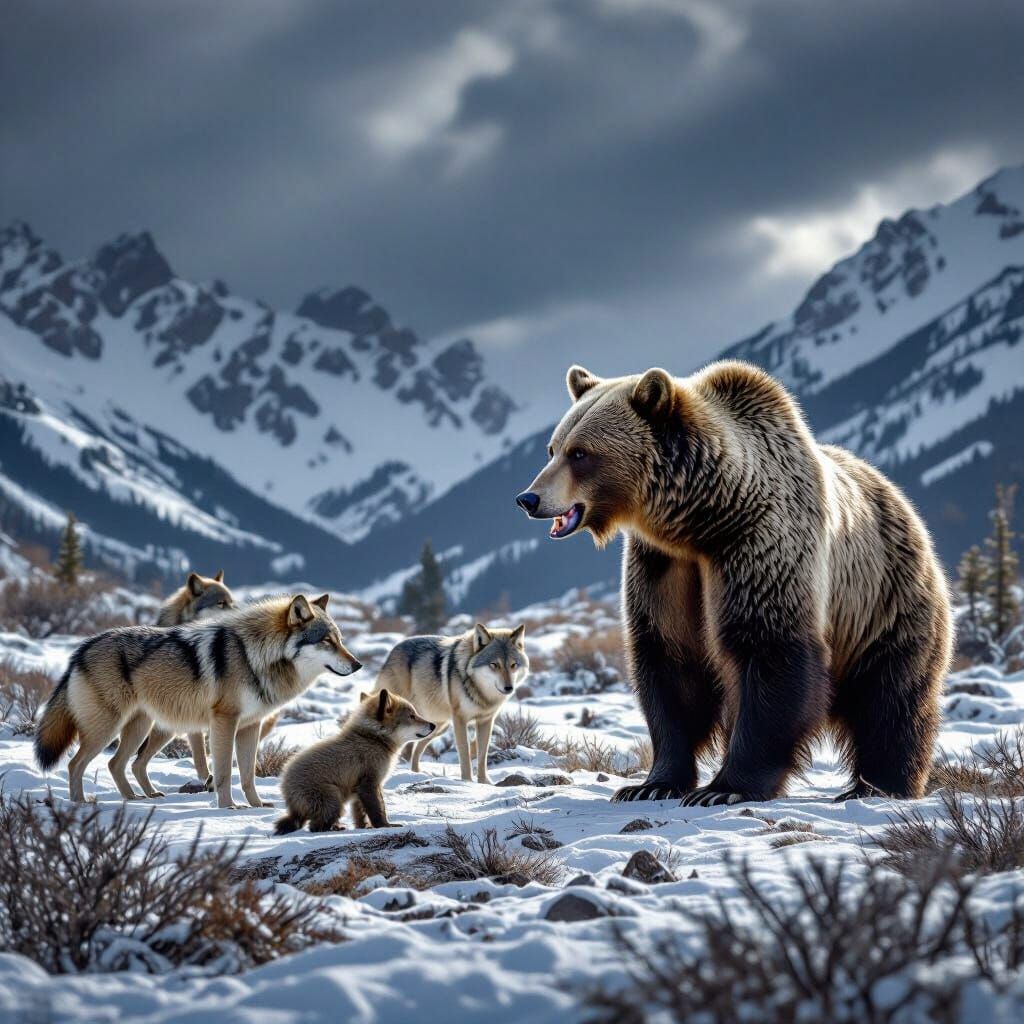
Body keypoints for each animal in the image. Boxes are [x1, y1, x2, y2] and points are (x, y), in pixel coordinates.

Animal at [34, 593, 363, 808]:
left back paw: (137, 798)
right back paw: (80, 802)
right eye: (327, 641)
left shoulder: (250, 727)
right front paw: (228, 807)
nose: (358, 665)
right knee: (76, 764)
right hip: (110, 728)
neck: (256, 656)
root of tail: (82, 648)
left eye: (340, 640)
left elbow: (248, 775)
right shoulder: (224, 721)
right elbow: (224, 771)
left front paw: (257, 806)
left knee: (120, 763)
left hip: (145, 727)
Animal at [274, 689, 434, 833]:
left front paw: (364, 828)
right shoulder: (369, 783)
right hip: (333, 799)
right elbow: (378, 810)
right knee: (316, 827)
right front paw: (385, 826)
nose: (433, 725)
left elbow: (360, 815)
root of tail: (288, 795)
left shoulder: (358, 789)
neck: (372, 738)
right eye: (412, 716)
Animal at [372, 623, 528, 784]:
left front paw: (484, 782)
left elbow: (482, 754)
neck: (482, 693)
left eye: (513, 665)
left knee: (417, 747)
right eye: (494, 664)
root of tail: (395, 648)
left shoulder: (485, 721)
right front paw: (467, 782)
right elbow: (465, 753)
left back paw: (415, 773)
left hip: (438, 726)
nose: (509, 688)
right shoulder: (460, 720)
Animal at [515, 360, 951, 805]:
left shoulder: (756, 545)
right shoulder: (663, 568)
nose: (528, 498)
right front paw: (650, 784)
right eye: (553, 448)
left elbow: (769, 651)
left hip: (884, 601)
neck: (702, 521)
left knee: (891, 697)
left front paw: (724, 789)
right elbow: (669, 664)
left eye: (580, 453)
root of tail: (900, 499)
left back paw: (880, 785)